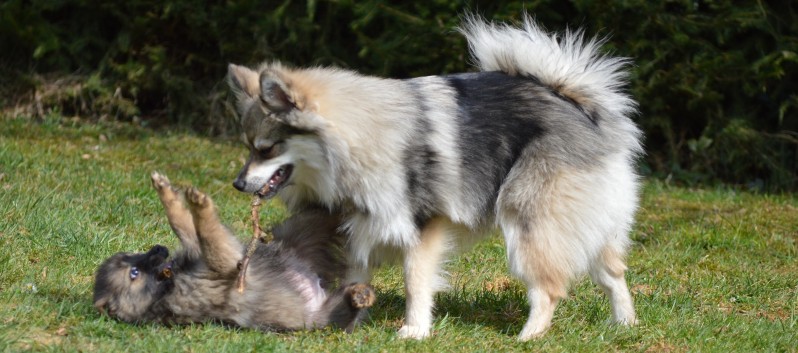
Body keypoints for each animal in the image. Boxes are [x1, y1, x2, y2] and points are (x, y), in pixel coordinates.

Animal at [93, 172, 376, 332]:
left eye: (130, 255)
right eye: (134, 273)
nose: (158, 249)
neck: (163, 288)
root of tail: (315, 286)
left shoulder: (200, 249)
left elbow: (183, 223)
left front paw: (166, 191)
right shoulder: (225, 263)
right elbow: (207, 231)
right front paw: (198, 204)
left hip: (304, 227)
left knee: (330, 210)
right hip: (325, 316)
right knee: (347, 312)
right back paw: (359, 296)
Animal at [225, 15, 644, 340]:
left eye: (266, 148)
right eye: (247, 146)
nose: (237, 185)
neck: (360, 138)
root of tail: (577, 103)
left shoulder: (421, 226)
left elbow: (415, 282)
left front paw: (414, 330)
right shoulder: (360, 224)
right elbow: (356, 274)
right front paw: (349, 316)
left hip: (530, 222)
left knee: (549, 287)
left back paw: (529, 336)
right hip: (587, 222)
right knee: (613, 272)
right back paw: (624, 324)